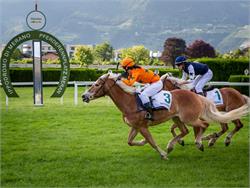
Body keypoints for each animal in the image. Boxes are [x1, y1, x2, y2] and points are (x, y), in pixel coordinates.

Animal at [81, 73, 248, 159]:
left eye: (97, 84)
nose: (84, 96)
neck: (129, 102)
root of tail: (196, 96)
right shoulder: (136, 126)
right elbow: (130, 141)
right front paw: (142, 142)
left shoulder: (143, 126)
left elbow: (152, 142)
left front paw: (162, 154)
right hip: (177, 117)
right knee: (187, 130)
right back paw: (174, 145)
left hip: (190, 118)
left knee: (206, 125)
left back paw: (202, 142)